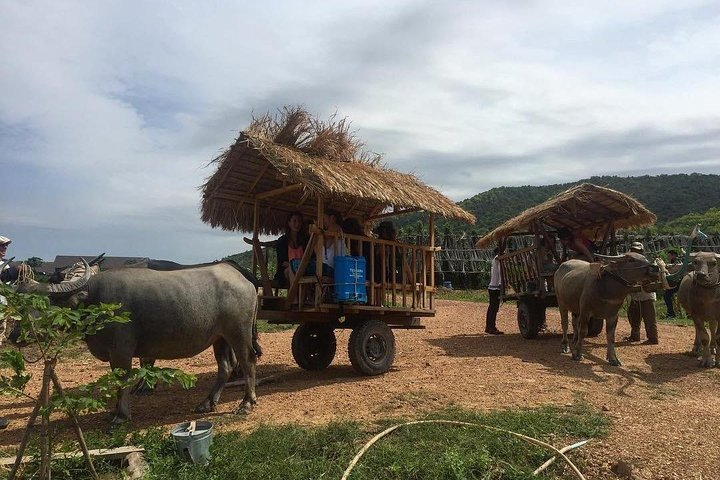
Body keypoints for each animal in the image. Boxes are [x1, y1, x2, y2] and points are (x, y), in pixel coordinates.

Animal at [23, 260, 260, 422]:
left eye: (44, 302)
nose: (18, 333)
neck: (93, 299)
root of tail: (243, 279)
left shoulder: (121, 351)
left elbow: (123, 381)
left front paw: (121, 415)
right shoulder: (113, 353)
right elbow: (118, 381)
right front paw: (114, 410)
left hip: (238, 332)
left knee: (247, 361)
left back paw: (247, 403)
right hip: (220, 338)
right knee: (226, 366)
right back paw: (207, 403)